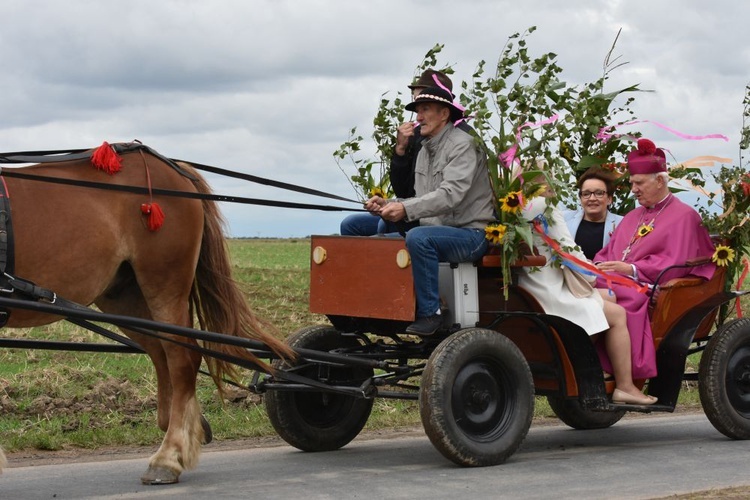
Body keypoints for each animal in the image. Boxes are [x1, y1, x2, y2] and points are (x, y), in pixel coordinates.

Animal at [0, 145, 294, 484]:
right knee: (160, 351)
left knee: (181, 359)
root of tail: (171, 166)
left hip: (164, 283)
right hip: (123, 295)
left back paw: (168, 456)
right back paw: (187, 428)